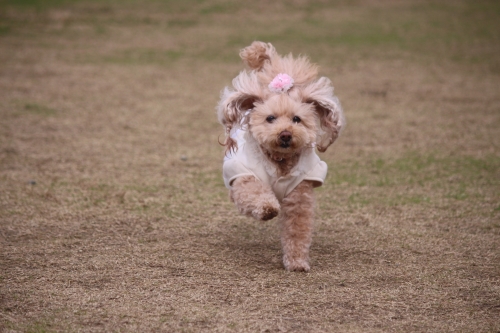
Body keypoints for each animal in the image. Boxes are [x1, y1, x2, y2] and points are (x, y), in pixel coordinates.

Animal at [217, 40, 346, 270]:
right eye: (270, 118)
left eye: (297, 119)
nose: (285, 134)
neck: (280, 160)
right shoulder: (245, 177)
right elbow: (255, 194)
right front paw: (268, 208)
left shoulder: (300, 194)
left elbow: (297, 231)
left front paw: (296, 262)